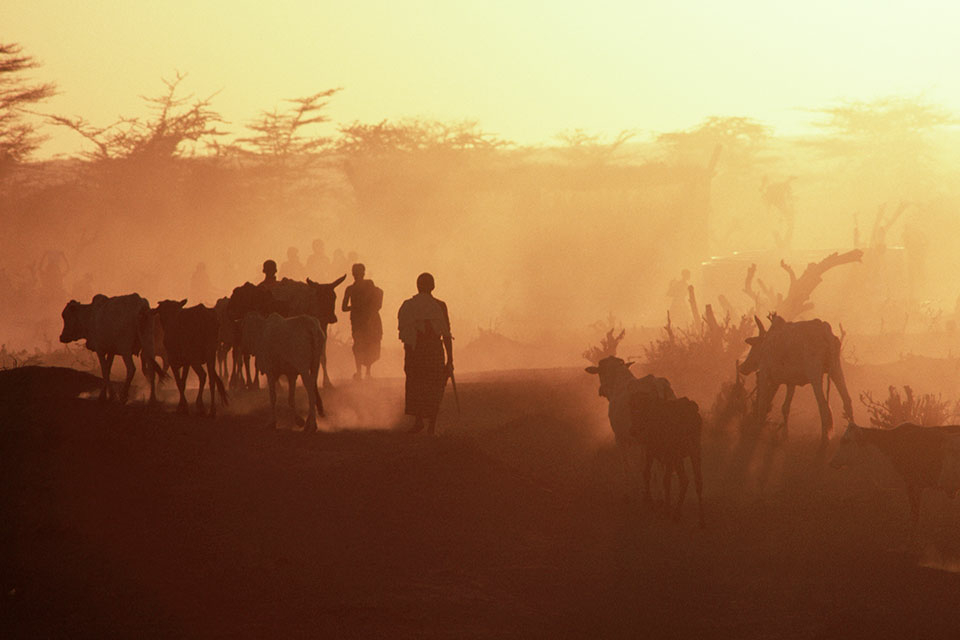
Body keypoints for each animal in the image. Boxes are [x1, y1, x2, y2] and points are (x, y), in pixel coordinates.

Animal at [585, 356, 675, 499]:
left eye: (600, 372)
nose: (601, 390)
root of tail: (656, 385)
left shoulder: (621, 438)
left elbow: (627, 463)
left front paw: (630, 490)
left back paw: (659, 493)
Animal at [631, 394, 705, 527]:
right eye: (632, 407)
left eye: (640, 409)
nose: (632, 431)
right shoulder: (659, 454)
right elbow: (655, 476)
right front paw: (655, 502)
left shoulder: (661, 453)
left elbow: (659, 478)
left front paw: (659, 505)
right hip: (693, 453)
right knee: (695, 481)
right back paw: (698, 518)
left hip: (682, 455)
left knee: (686, 480)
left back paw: (675, 512)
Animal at [739, 314, 853, 448]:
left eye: (753, 346)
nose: (743, 367)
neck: (766, 344)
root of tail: (825, 331)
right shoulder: (789, 382)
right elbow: (785, 407)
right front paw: (785, 437)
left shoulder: (765, 373)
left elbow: (762, 405)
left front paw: (756, 430)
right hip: (836, 368)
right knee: (847, 401)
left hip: (815, 374)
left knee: (824, 407)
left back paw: (824, 442)